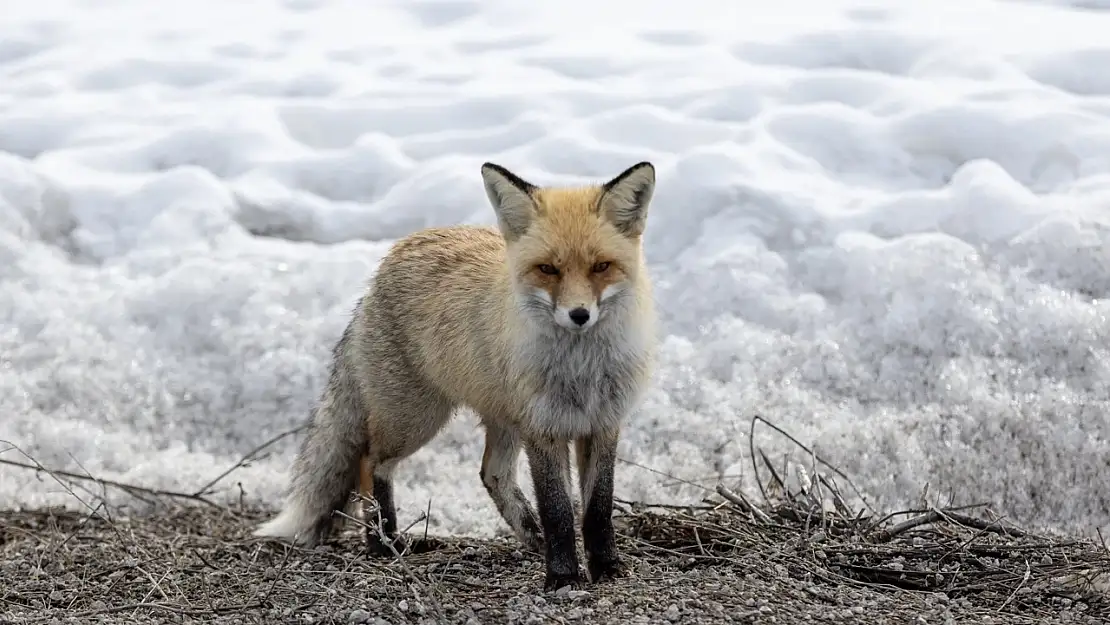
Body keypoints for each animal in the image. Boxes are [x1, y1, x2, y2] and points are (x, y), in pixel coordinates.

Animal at [254, 160, 657, 590]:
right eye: (548, 269)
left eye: (601, 266)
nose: (579, 315)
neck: (581, 371)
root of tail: (387, 263)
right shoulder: (544, 429)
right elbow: (560, 512)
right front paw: (563, 576)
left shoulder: (603, 425)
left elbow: (597, 509)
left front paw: (606, 567)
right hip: (415, 419)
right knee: (368, 462)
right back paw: (383, 541)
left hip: (500, 418)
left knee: (491, 474)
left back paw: (530, 536)